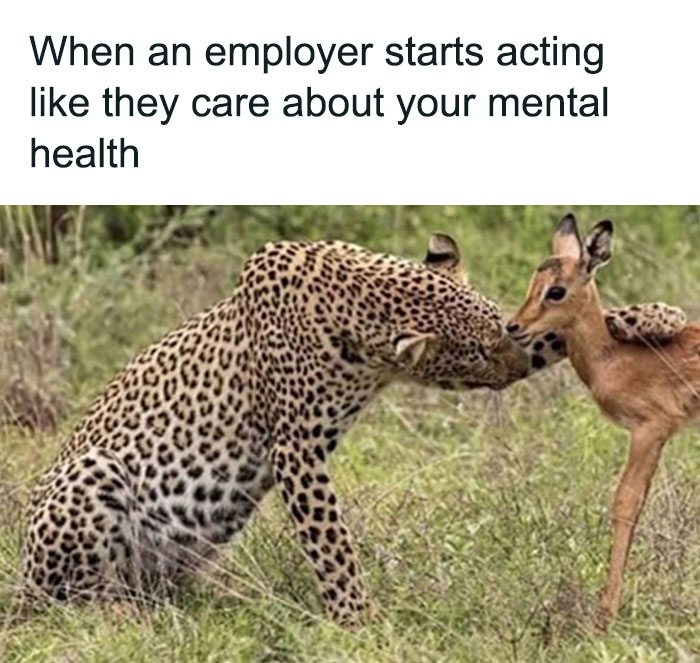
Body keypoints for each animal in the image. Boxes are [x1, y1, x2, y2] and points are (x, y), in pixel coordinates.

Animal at [18, 234, 686, 626]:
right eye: (473, 353)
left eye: (502, 327)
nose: (517, 364)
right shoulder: (295, 449)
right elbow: (333, 544)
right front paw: (361, 622)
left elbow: (569, 329)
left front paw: (656, 316)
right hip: (91, 477)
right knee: (71, 600)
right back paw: (118, 615)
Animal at [507, 213, 700, 629]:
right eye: (534, 281)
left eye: (556, 290)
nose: (513, 326)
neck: (613, 358)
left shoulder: (649, 430)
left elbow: (626, 503)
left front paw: (604, 613)